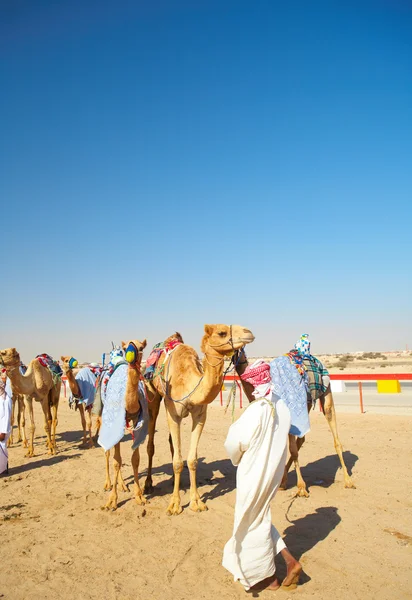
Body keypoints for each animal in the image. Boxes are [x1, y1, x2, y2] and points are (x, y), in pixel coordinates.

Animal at [148, 324, 254, 516]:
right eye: (222, 333)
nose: (248, 332)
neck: (189, 382)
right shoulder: (173, 413)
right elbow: (177, 462)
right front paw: (174, 505)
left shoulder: (200, 415)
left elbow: (192, 460)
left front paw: (196, 502)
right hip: (153, 398)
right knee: (150, 443)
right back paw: (148, 485)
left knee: (172, 444)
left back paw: (175, 482)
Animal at [235, 352, 358, 496]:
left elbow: (292, 450)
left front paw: (301, 487)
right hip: (307, 404)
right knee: (301, 439)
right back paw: (283, 481)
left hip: (326, 391)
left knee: (335, 437)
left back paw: (348, 481)